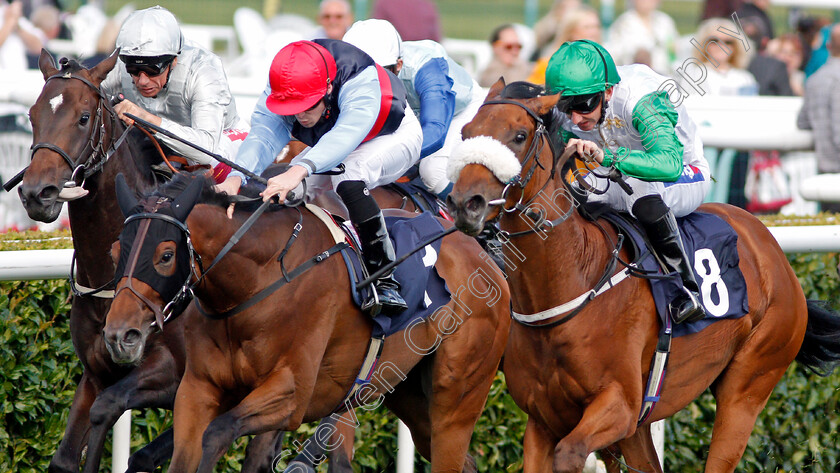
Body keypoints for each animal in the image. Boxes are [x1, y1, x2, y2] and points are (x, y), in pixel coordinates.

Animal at [103, 173, 512, 472]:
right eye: (115, 250)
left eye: (165, 255)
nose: (119, 334)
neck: (257, 282)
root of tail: (484, 255)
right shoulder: (198, 388)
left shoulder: (292, 394)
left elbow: (217, 434)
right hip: (409, 394)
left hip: (456, 401)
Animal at [446, 79, 840, 470]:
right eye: (465, 133)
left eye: (519, 135)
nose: (466, 203)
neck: (569, 286)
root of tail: (772, 250)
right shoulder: (544, 420)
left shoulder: (619, 405)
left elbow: (570, 452)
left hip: (750, 381)